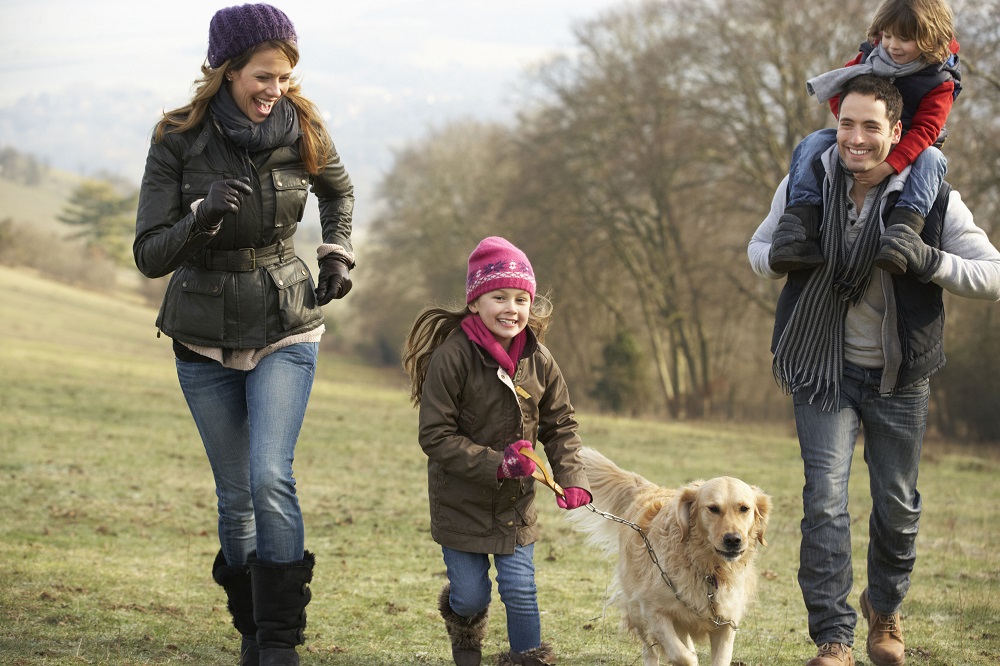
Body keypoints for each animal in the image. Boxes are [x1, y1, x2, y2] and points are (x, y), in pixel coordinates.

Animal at [568, 446, 768, 664]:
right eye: (713, 508)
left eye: (744, 509)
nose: (733, 540)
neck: (706, 567)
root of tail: (647, 488)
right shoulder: (653, 611)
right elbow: (683, 656)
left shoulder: (725, 623)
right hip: (635, 608)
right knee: (649, 649)